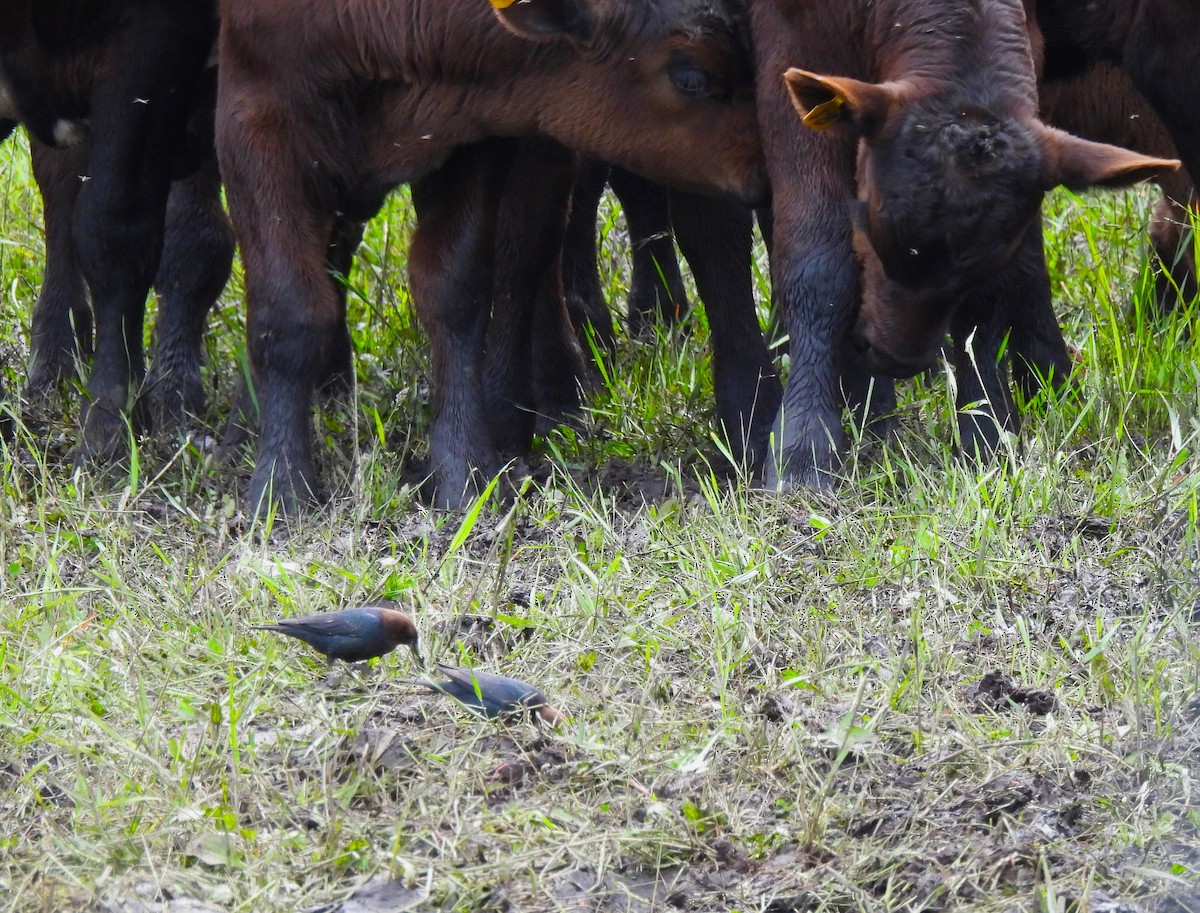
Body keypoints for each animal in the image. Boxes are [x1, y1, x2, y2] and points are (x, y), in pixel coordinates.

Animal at [214, 0, 758, 513]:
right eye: (691, 77)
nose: (766, 172)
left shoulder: (471, 136)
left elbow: (455, 290)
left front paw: (464, 468)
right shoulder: (254, 121)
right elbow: (288, 313)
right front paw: (281, 486)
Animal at [753, 0, 1176, 487]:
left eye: (978, 264)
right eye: (871, 225)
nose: (897, 360)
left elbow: (999, 291)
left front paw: (988, 431)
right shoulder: (792, 41)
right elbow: (818, 260)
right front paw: (803, 446)